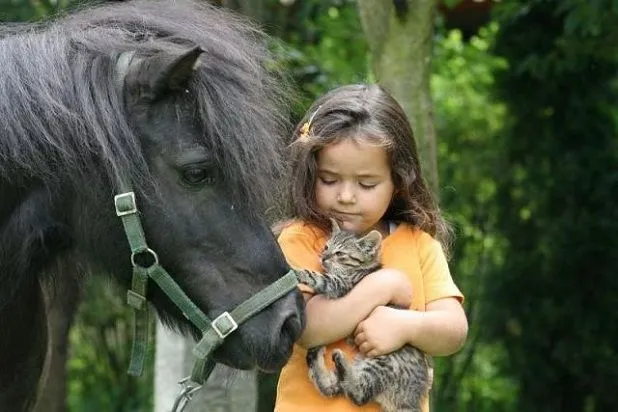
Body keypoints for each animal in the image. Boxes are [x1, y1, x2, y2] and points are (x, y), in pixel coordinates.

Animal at [294, 220, 430, 412]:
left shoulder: (339, 284)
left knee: (358, 394)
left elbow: (317, 277)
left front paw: (297, 272)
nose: (323, 257)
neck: (358, 269)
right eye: (327, 247)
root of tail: (411, 398)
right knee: (334, 387)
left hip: (384, 360)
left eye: (340, 253)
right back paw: (318, 355)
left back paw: (340, 361)